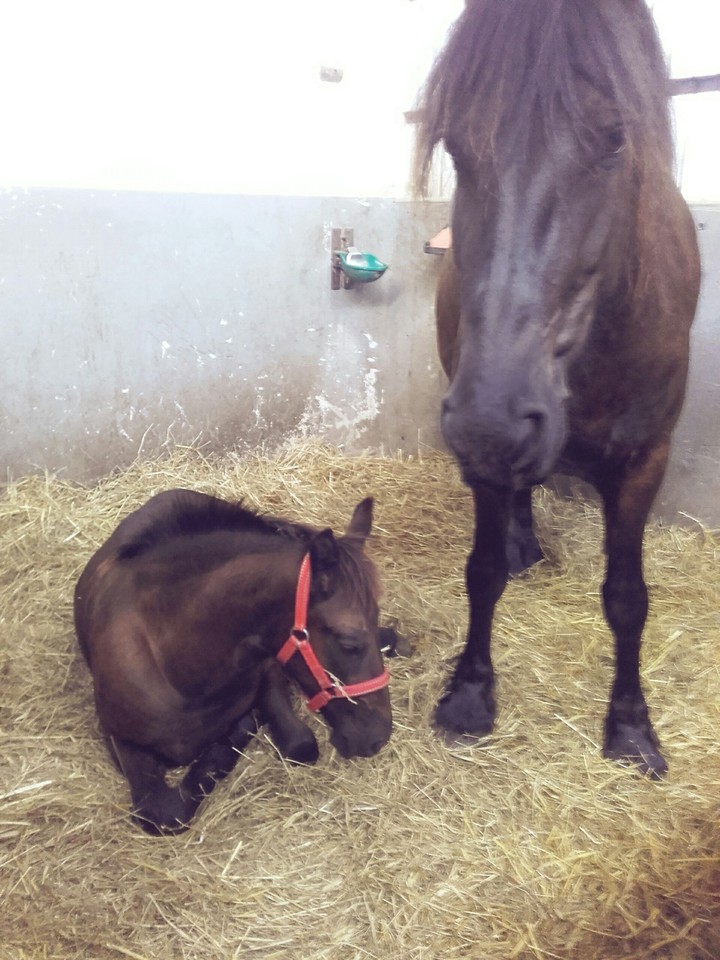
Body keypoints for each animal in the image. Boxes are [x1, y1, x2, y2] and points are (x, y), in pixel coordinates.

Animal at [74, 489, 392, 834]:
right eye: (349, 642)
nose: (378, 737)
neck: (178, 671)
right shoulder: (119, 738)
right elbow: (164, 812)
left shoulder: (268, 668)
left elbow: (295, 743)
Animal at [415, 0, 700, 776]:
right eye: (455, 146)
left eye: (615, 141)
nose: (492, 422)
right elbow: (482, 571)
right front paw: (470, 696)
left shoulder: (646, 462)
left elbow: (628, 597)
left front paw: (630, 726)